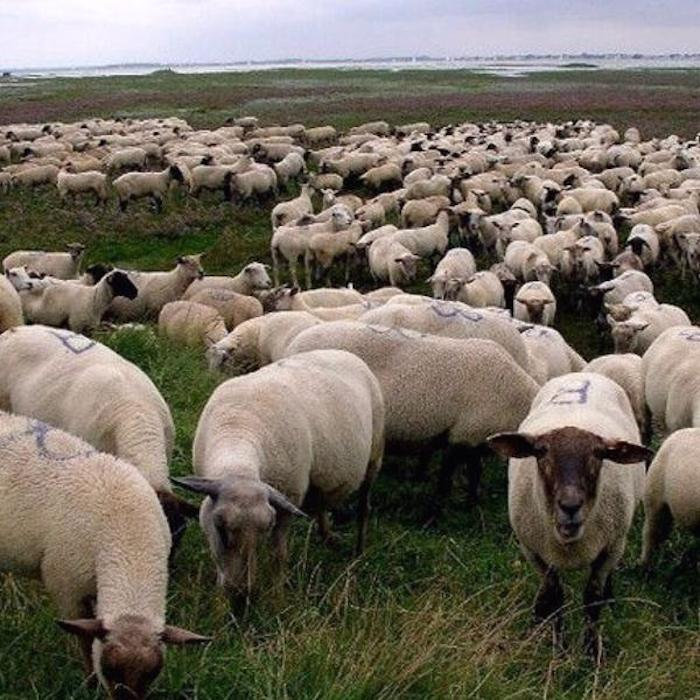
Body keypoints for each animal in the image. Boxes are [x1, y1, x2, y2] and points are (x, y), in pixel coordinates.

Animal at [175, 349, 384, 597]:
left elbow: (278, 555)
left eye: (265, 529)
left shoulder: (288, 501)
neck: (239, 428)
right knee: (321, 503)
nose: (241, 594)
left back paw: (358, 552)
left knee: (363, 507)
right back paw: (327, 536)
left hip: (374, 455)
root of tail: (343, 352)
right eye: (220, 527)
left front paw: (277, 596)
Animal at [285, 321, 538, 508]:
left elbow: (475, 472)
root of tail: (293, 346)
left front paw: (472, 504)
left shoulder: (476, 440)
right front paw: (435, 514)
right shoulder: (462, 436)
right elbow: (445, 481)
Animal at [487, 373, 651, 654]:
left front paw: (591, 651)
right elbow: (555, 597)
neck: (569, 543)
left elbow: (592, 599)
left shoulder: (610, 548)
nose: (570, 505)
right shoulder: (534, 551)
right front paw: (558, 648)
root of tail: (584, 374)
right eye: (541, 452)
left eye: (599, 454)